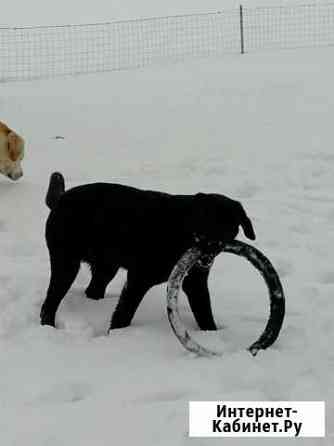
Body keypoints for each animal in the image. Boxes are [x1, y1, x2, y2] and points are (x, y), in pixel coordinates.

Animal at [41, 173, 256, 332]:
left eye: (227, 227)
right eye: (204, 220)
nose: (208, 249)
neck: (179, 231)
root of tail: (61, 199)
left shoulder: (196, 283)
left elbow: (205, 315)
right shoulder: (138, 280)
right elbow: (124, 314)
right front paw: (117, 335)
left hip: (106, 268)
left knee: (92, 290)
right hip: (66, 265)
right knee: (49, 303)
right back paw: (48, 327)